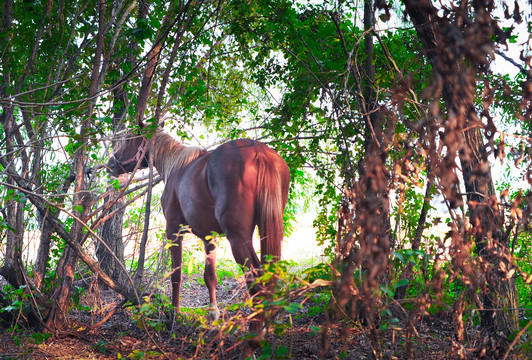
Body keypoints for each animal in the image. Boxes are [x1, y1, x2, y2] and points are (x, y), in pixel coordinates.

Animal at [107, 126, 288, 318]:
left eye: (128, 139)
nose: (110, 164)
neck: (176, 165)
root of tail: (259, 152)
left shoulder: (173, 230)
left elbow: (176, 275)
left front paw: (175, 313)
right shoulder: (209, 236)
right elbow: (210, 277)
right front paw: (213, 312)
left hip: (238, 238)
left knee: (256, 282)